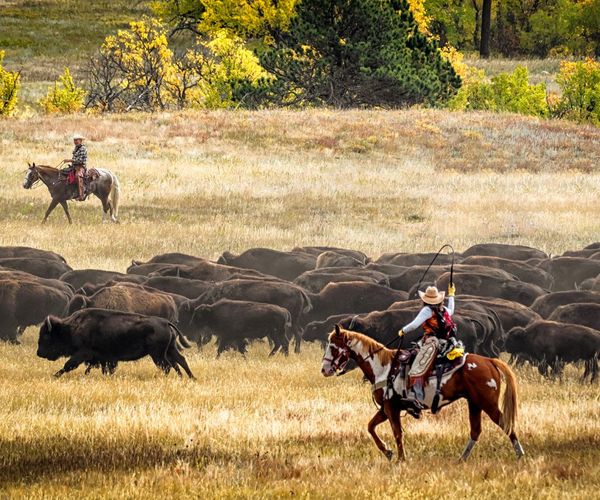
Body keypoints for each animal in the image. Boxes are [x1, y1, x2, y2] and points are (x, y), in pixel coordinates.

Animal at [36, 308, 195, 378]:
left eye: (46, 336)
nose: (39, 353)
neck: (72, 327)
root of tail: (165, 322)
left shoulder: (82, 353)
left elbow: (68, 365)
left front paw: (55, 375)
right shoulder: (105, 358)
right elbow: (105, 369)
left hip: (158, 355)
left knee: (168, 366)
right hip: (170, 350)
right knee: (180, 361)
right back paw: (189, 378)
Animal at [318, 326, 524, 462]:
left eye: (333, 346)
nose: (324, 369)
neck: (383, 367)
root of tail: (489, 361)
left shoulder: (391, 408)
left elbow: (397, 433)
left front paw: (400, 459)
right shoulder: (386, 409)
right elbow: (370, 427)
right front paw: (388, 452)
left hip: (488, 404)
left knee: (506, 424)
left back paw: (520, 455)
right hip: (474, 404)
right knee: (475, 431)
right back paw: (461, 460)